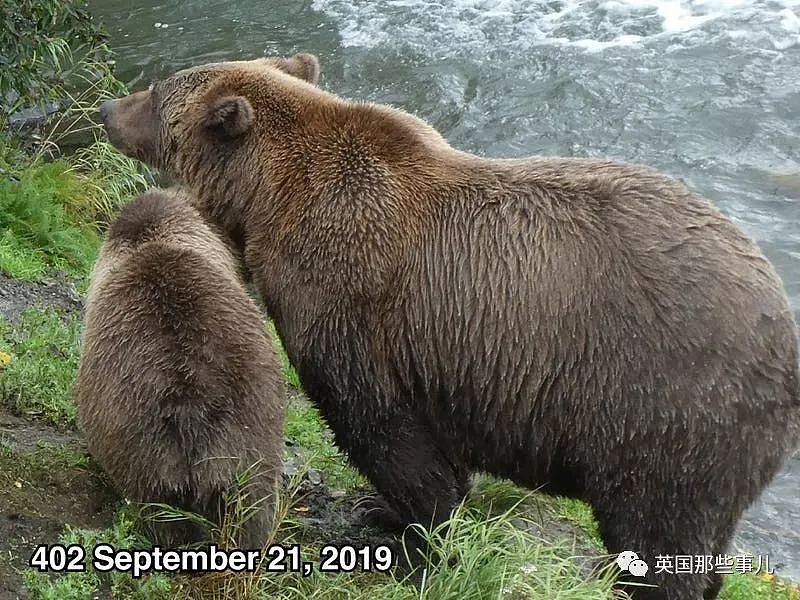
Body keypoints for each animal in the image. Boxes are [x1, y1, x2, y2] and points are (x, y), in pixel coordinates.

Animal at [100, 54, 800, 596]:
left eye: (157, 93)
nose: (108, 107)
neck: (267, 197)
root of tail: (780, 322)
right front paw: (392, 515)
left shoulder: (351, 297)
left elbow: (380, 426)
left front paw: (419, 540)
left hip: (666, 408)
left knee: (657, 533)